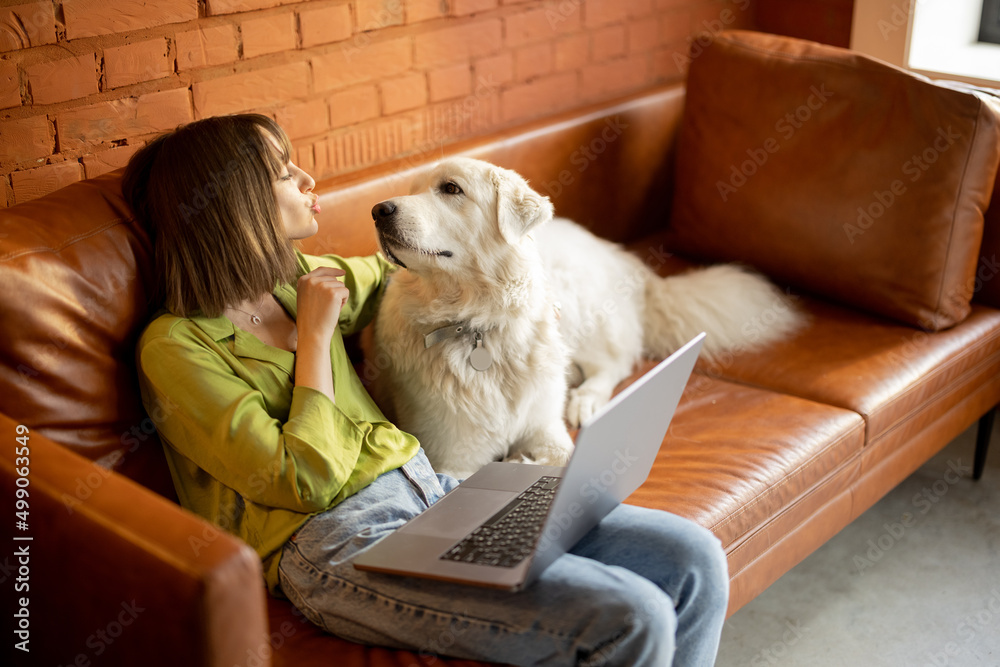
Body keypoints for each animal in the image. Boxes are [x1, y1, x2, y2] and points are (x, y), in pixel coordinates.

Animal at [372, 158, 800, 480]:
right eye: (412, 189)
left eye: (451, 189)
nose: (379, 210)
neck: (478, 322)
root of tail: (619, 254)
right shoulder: (451, 461)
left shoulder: (545, 426)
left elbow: (561, 458)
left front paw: (524, 460)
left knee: (615, 362)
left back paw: (585, 400)